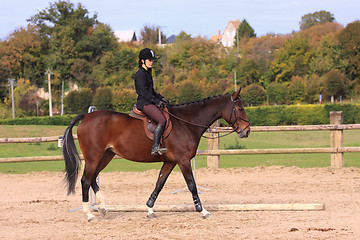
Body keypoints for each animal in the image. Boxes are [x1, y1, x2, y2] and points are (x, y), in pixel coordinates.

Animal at [62, 89, 250, 221]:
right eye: (240, 108)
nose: (247, 131)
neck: (186, 123)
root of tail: (86, 116)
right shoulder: (183, 161)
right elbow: (192, 185)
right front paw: (202, 210)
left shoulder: (170, 162)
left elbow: (159, 183)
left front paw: (150, 209)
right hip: (93, 156)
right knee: (86, 180)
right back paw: (89, 214)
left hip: (106, 155)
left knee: (93, 178)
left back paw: (102, 208)